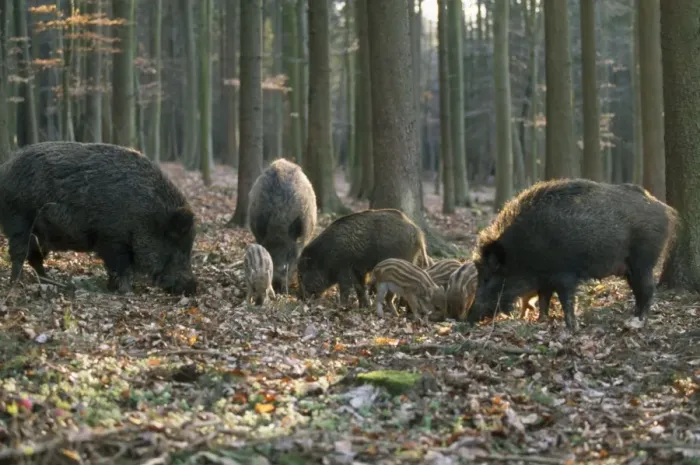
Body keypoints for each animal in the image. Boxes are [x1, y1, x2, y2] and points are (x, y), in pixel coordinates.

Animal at [0, 141, 197, 295]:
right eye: (179, 246)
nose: (193, 287)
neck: (148, 216)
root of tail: (5, 169)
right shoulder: (113, 238)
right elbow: (120, 267)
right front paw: (127, 292)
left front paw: (113, 288)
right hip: (19, 221)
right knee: (19, 254)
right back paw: (18, 284)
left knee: (35, 257)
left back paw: (52, 283)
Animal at [296, 208, 429, 307]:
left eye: (302, 274)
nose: (300, 298)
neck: (326, 257)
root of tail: (418, 233)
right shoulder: (359, 270)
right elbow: (360, 287)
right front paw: (363, 306)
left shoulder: (344, 268)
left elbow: (345, 288)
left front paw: (342, 306)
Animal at [467, 179, 678, 331]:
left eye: (487, 278)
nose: (468, 317)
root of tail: (665, 208)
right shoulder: (544, 278)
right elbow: (544, 298)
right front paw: (542, 321)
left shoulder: (564, 274)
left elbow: (565, 300)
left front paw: (572, 328)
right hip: (630, 268)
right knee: (638, 290)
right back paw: (633, 317)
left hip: (644, 259)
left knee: (648, 289)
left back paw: (639, 321)